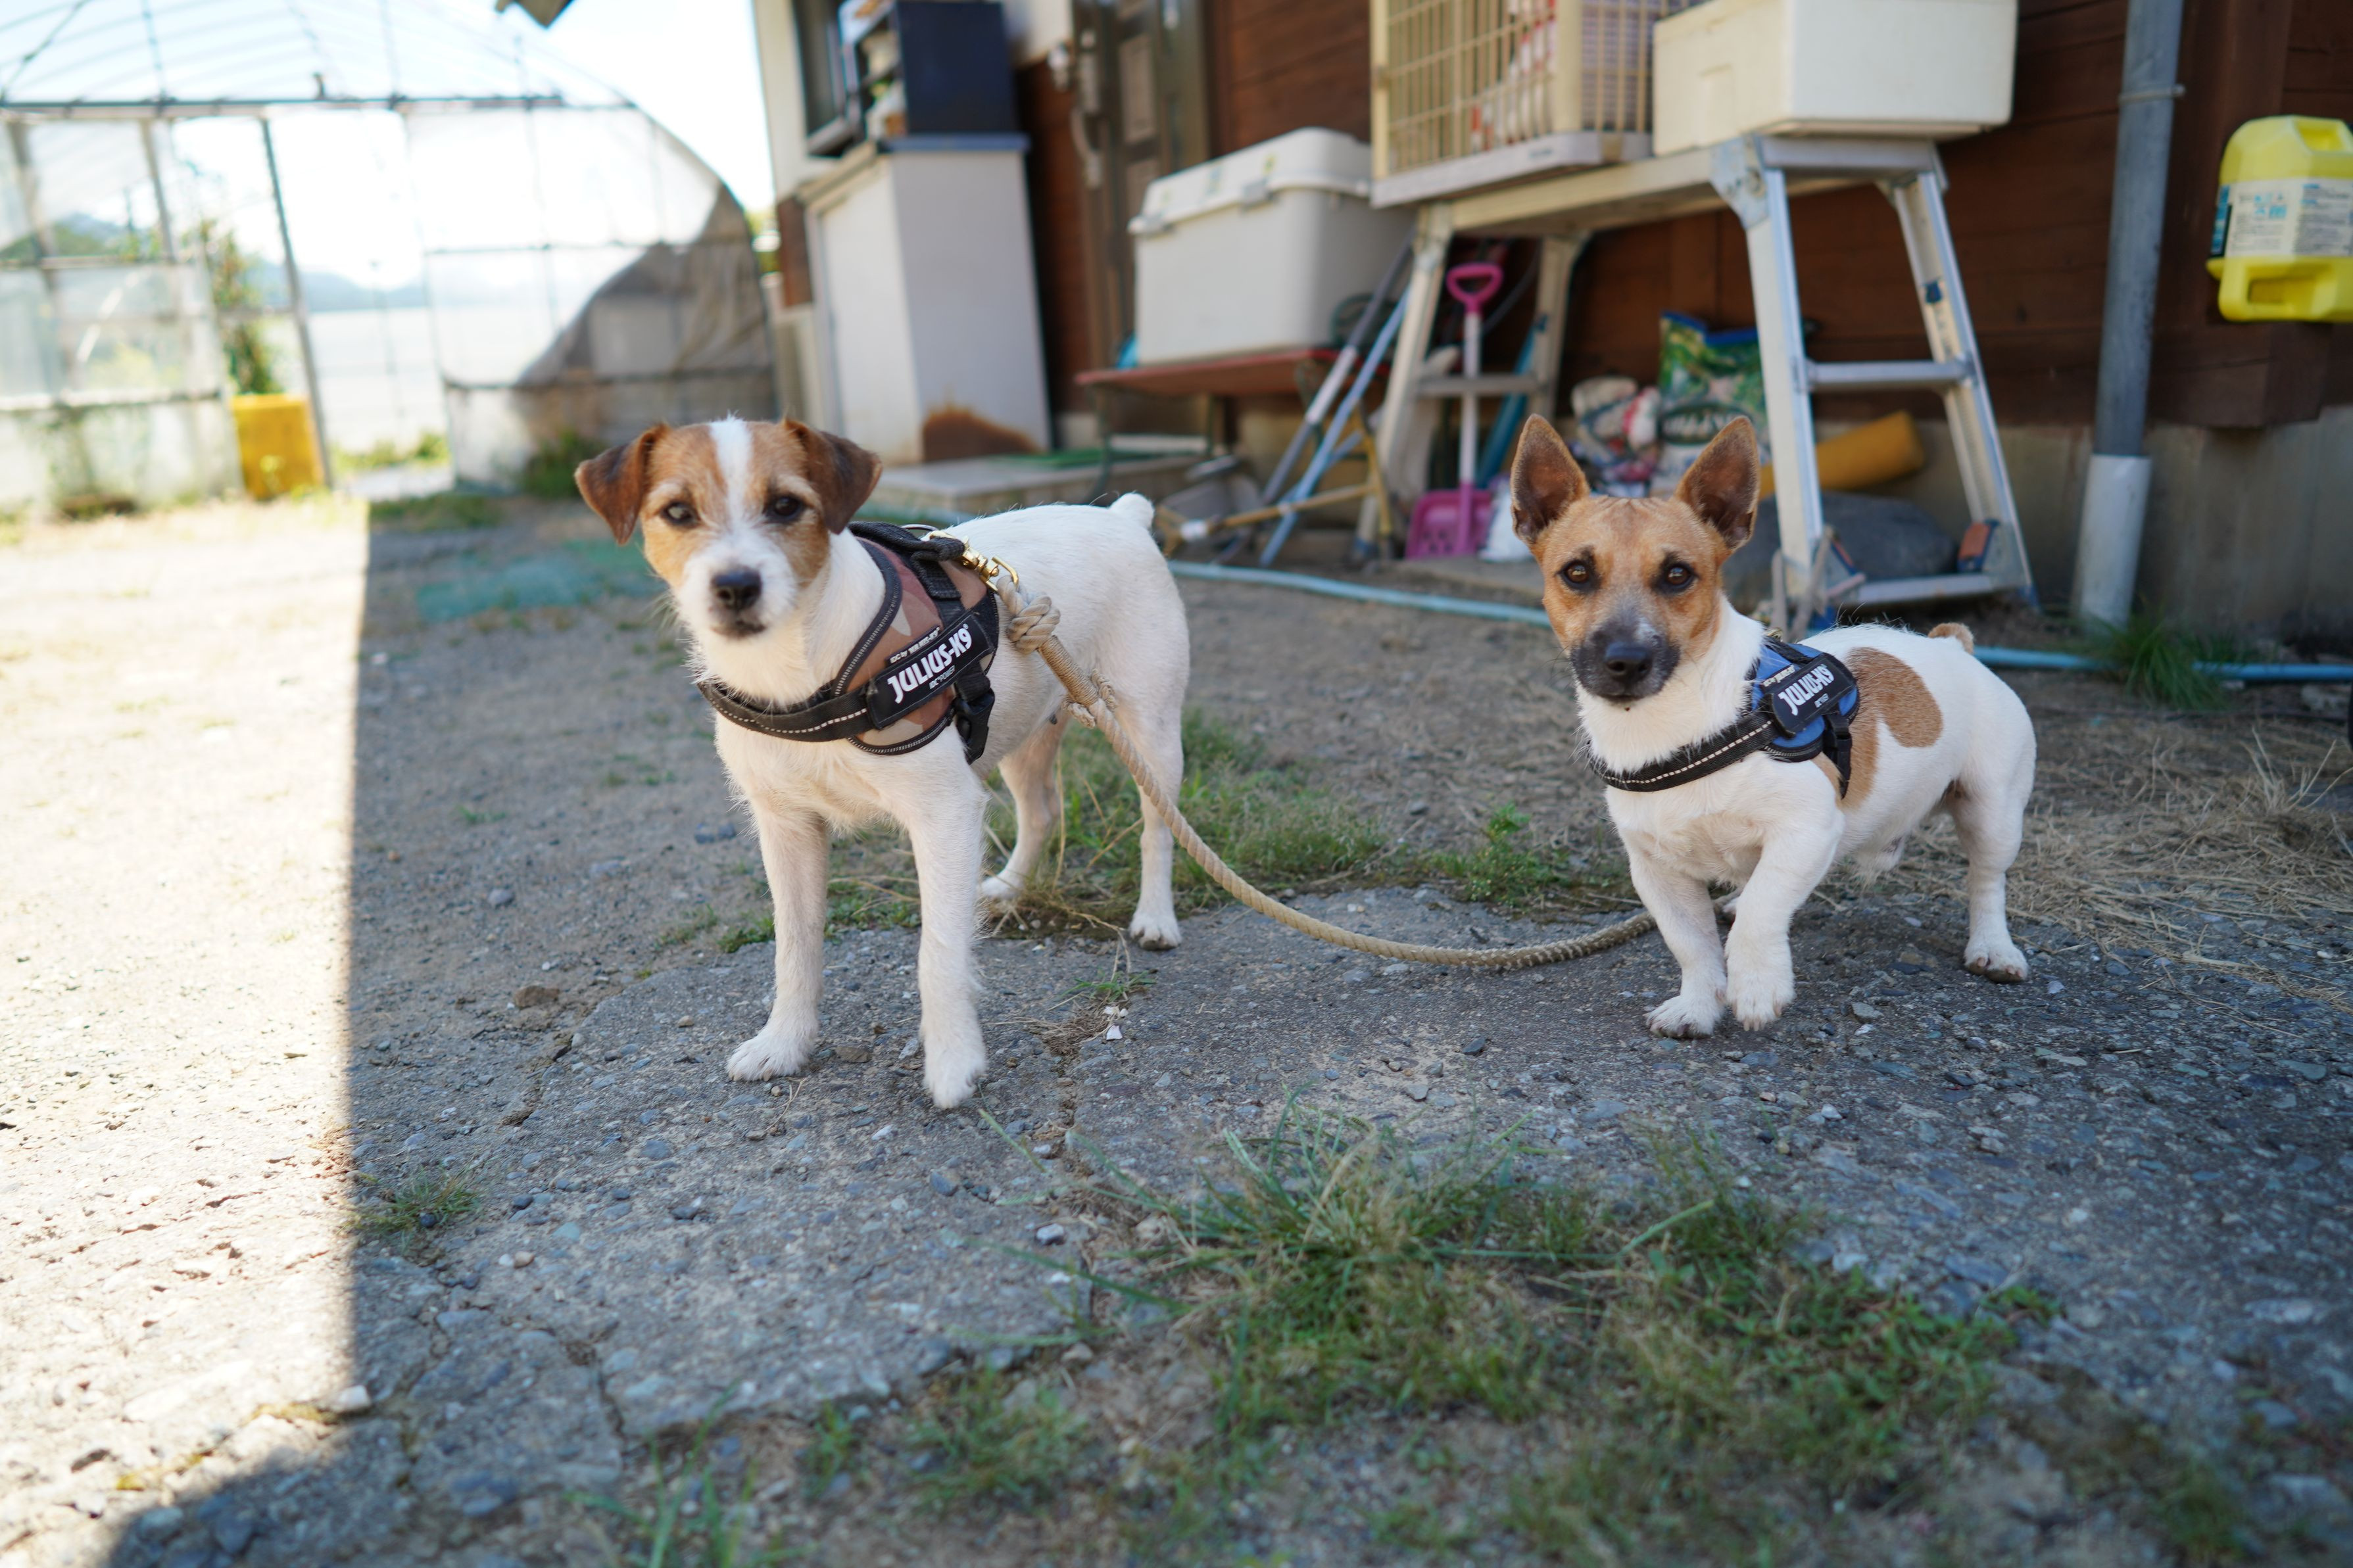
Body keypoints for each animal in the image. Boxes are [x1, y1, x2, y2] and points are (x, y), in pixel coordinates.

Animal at [575, 417, 1190, 1107]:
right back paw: (1009, 886)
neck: (800, 672)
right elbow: (795, 945)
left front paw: (953, 1061)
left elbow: (938, 951)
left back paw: (1154, 916)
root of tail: (1122, 516)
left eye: (786, 505)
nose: (736, 585)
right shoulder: (787, 828)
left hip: (1150, 730)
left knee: (1159, 825)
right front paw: (784, 1042)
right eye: (677, 512)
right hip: (1026, 734)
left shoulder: (943, 815)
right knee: (1042, 812)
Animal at [1508, 414, 2036, 1037]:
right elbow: (1693, 944)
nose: (1625, 660)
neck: (1676, 723)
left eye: (1678, 575)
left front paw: (1759, 983)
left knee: (1986, 881)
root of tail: (1954, 645)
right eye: (1577, 573)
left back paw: (1993, 947)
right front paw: (1698, 1005)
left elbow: (1762, 913)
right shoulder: (1659, 873)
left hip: (1991, 812)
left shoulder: (1805, 828)